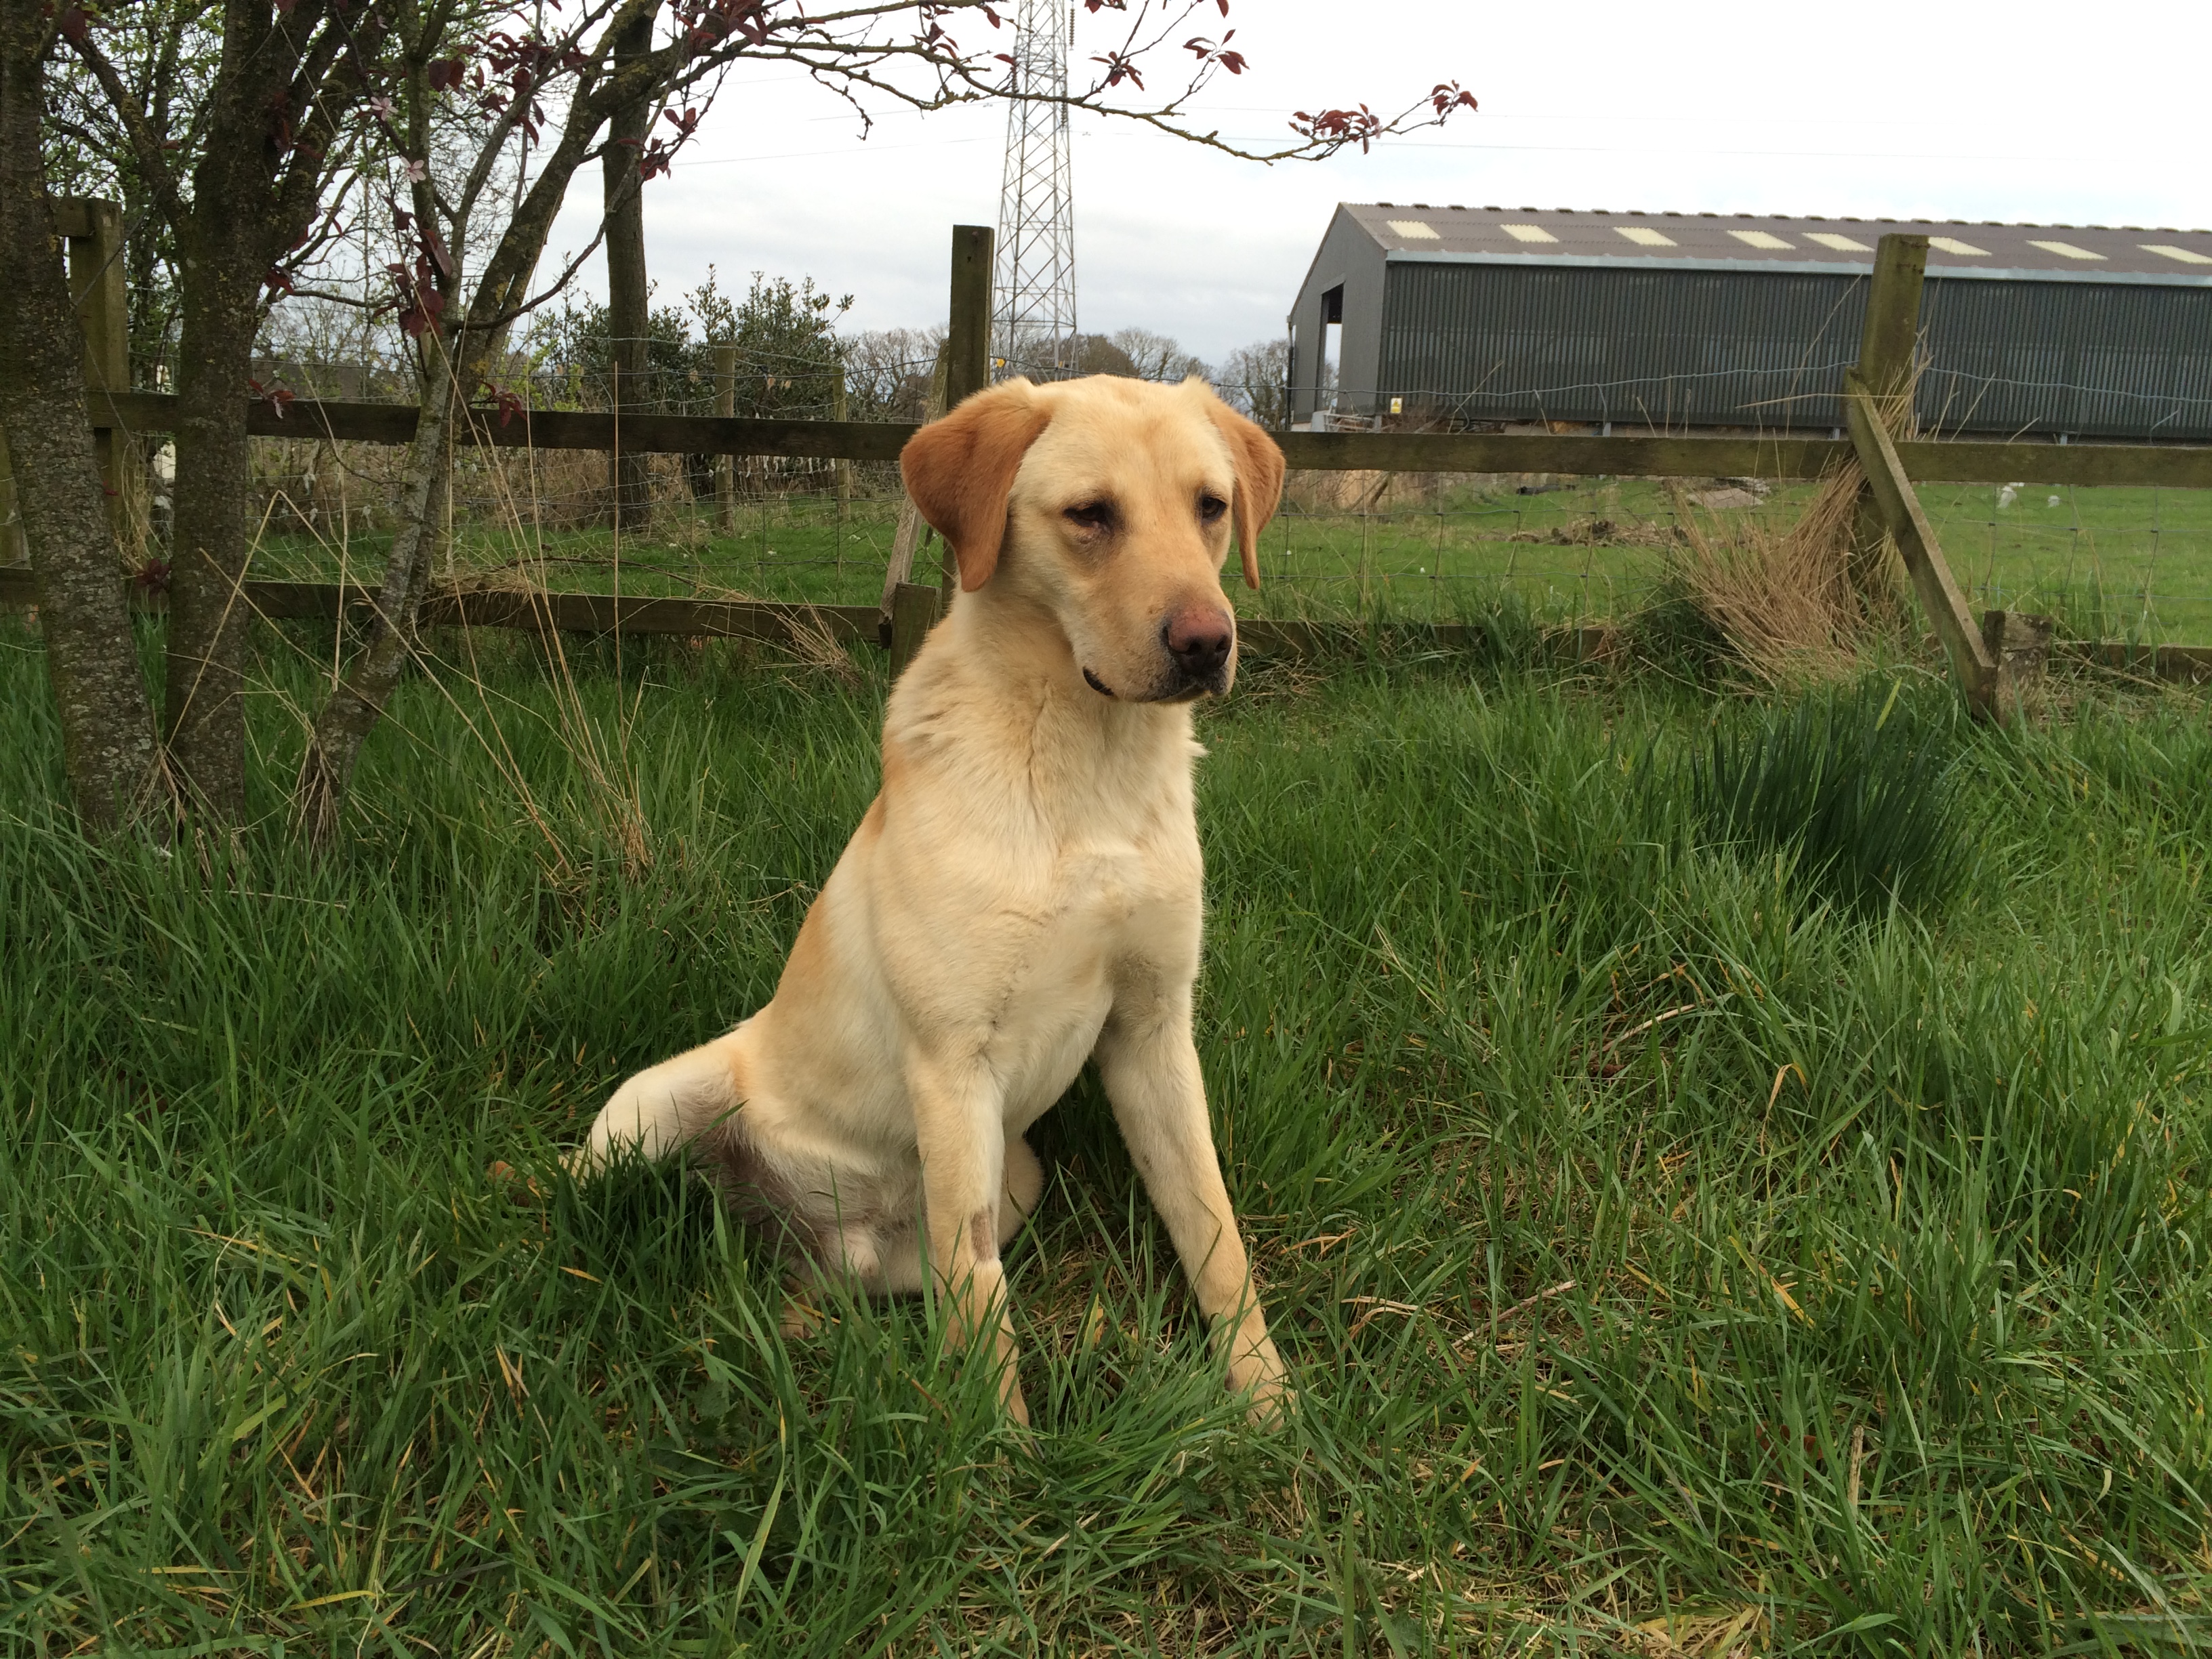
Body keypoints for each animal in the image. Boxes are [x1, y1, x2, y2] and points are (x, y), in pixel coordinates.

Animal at [575, 375, 1292, 1433]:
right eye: (1091, 515)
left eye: (1209, 506)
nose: (1210, 645)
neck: (1086, 770)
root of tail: (827, 1232)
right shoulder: (955, 1063)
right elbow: (982, 1295)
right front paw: (1000, 1453)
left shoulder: (1154, 1032)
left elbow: (1213, 1230)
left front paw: (1271, 1402)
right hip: (642, 1114)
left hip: (1014, 1182)